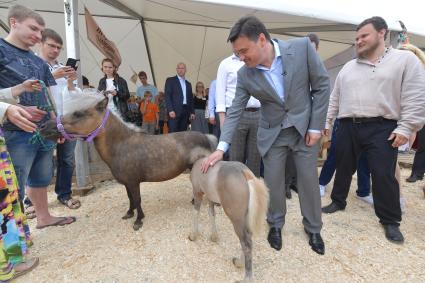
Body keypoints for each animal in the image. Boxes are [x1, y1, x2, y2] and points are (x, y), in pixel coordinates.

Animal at [39, 92, 215, 232]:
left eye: (79, 113)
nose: (44, 126)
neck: (121, 145)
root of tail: (206, 136)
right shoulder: (127, 183)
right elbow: (130, 199)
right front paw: (129, 214)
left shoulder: (133, 182)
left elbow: (137, 199)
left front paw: (138, 221)